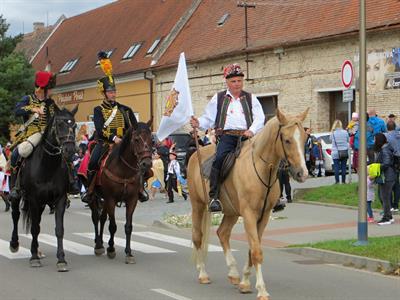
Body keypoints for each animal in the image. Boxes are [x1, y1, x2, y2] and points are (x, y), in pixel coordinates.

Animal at [9, 106, 78, 272]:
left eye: (74, 125)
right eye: (59, 124)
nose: (70, 150)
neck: (47, 166)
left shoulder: (60, 199)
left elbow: (59, 229)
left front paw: (61, 260)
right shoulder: (33, 199)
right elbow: (34, 228)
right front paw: (34, 258)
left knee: (38, 222)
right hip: (17, 196)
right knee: (15, 215)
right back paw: (15, 244)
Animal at [90, 120, 152, 264]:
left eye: (152, 140)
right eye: (136, 139)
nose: (146, 164)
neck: (123, 170)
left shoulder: (132, 200)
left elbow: (128, 227)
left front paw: (128, 253)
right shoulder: (111, 199)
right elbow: (112, 226)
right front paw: (111, 248)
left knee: (102, 218)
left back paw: (101, 243)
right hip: (95, 198)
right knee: (96, 218)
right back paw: (98, 245)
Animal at [188, 108, 310, 300]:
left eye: (305, 138)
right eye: (287, 140)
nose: (302, 174)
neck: (261, 168)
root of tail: (195, 154)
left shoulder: (263, 215)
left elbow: (253, 249)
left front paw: (245, 283)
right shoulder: (249, 214)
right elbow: (256, 251)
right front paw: (261, 290)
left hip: (231, 211)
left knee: (223, 233)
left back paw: (233, 274)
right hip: (198, 205)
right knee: (197, 237)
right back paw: (203, 274)